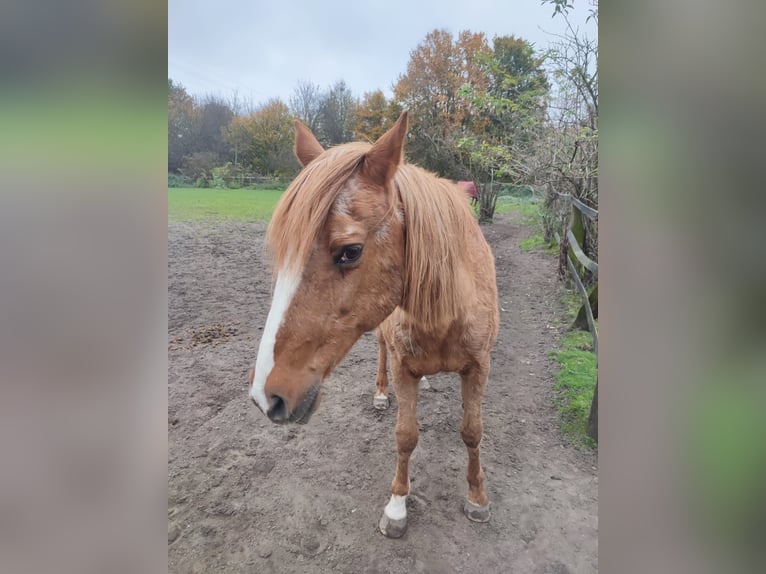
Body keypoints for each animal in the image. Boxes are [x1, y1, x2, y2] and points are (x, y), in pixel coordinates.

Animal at [250, 113, 504, 540]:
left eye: (350, 251)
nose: (266, 396)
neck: (446, 311)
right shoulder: (404, 369)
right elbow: (406, 436)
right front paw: (397, 506)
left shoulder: (479, 367)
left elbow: (473, 431)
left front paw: (478, 499)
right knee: (382, 353)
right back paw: (382, 394)